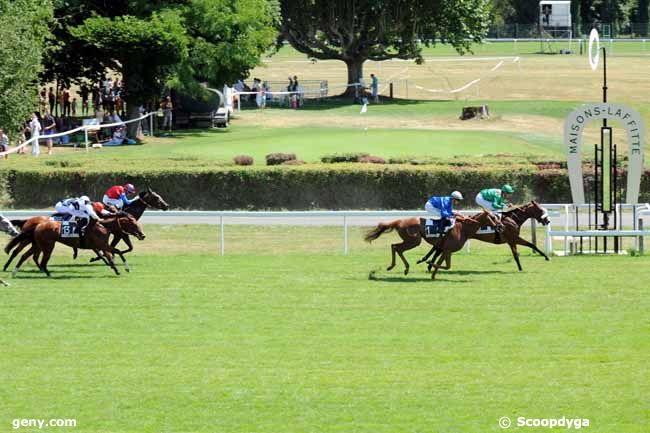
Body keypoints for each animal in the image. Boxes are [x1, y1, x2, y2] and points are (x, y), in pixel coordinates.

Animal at [10, 213, 144, 276]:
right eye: (133, 223)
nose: (143, 235)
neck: (104, 226)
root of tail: (38, 225)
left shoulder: (103, 245)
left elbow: (114, 254)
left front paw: (120, 269)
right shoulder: (102, 245)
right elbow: (115, 253)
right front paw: (123, 269)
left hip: (38, 245)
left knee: (24, 256)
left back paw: (14, 272)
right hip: (48, 246)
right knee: (42, 261)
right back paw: (48, 274)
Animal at [362, 211, 494, 278]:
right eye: (492, 217)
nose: (498, 225)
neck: (463, 229)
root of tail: (399, 221)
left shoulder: (446, 249)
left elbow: (445, 265)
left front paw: (432, 273)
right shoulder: (447, 249)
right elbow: (443, 264)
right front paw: (429, 263)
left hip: (411, 240)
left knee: (394, 246)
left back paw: (399, 267)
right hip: (413, 240)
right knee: (396, 247)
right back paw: (400, 267)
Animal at [418, 200, 548, 270]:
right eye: (541, 210)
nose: (547, 221)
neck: (513, 219)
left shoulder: (513, 239)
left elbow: (531, 245)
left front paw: (546, 257)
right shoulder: (512, 238)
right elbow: (518, 253)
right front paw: (521, 268)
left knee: (438, 248)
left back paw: (428, 264)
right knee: (438, 248)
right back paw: (428, 263)